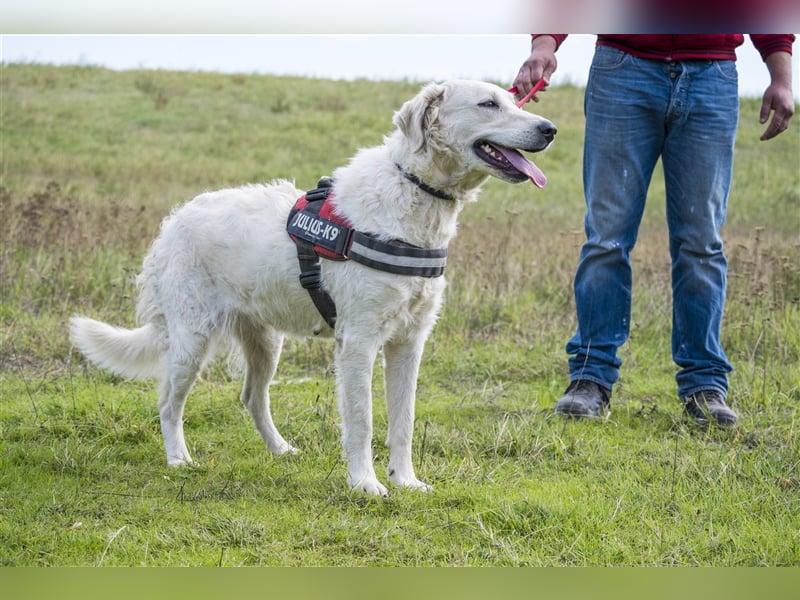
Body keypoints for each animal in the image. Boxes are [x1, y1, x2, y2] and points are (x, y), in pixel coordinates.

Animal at [70, 81, 556, 496]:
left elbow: (403, 421)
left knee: (251, 397)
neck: (412, 198)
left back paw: (280, 449)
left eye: (513, 100)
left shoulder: (409, 343)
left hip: (265, 342)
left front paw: (405, 481)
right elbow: (361, 421)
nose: (550, 129)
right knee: (169, 403)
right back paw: (178, 459)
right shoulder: (358, 342)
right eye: (488, 104)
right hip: (192, 340)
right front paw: (365, 483)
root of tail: (173, 222)